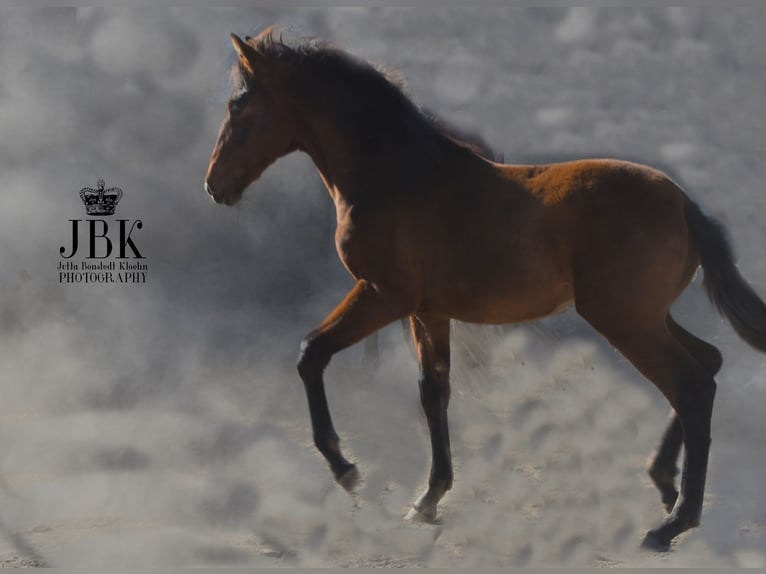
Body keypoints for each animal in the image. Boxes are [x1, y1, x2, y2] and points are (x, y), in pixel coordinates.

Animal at [204, 28, 766, 552]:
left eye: (239, 106)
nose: (213, 185)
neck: (396, 175)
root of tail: (685, 204)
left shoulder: (383, 295)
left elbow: (312, 353)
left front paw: (346, 469)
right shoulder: (427, 312)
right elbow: (434, 392)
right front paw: (427, 500)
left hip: (624, 320)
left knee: (692, 386)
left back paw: (671, 524)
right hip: (648, 316)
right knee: (708, 362)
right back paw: (664, 484)